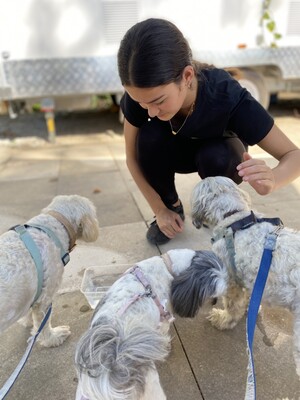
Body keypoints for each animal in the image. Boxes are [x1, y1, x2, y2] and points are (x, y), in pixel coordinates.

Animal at [0, 195, 99, 346]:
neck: (55, 225)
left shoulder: (32, 292)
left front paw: (27, 321)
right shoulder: (44, 298)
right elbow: (43, 324)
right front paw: (53, 338)